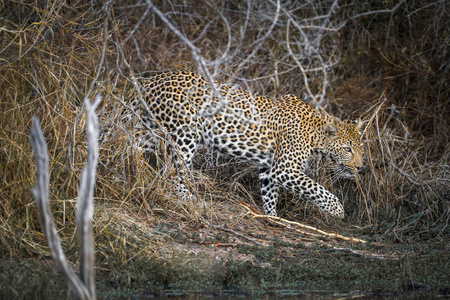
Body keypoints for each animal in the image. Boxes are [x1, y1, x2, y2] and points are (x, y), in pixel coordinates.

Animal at [123, 71, 366, 219]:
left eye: (360, 149)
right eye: (348, 149)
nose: (361, 167)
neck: (315, 135)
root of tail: (151, 80)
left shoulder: (269, 168)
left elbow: (269, 193)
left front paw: (273, 217)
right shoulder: (285, 169)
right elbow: (316, 188)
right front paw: (337, 210)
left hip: (151, 130)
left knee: (132, 148)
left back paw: (131, 173)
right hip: (184, 135)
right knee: (173, 173)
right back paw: (190, 199)